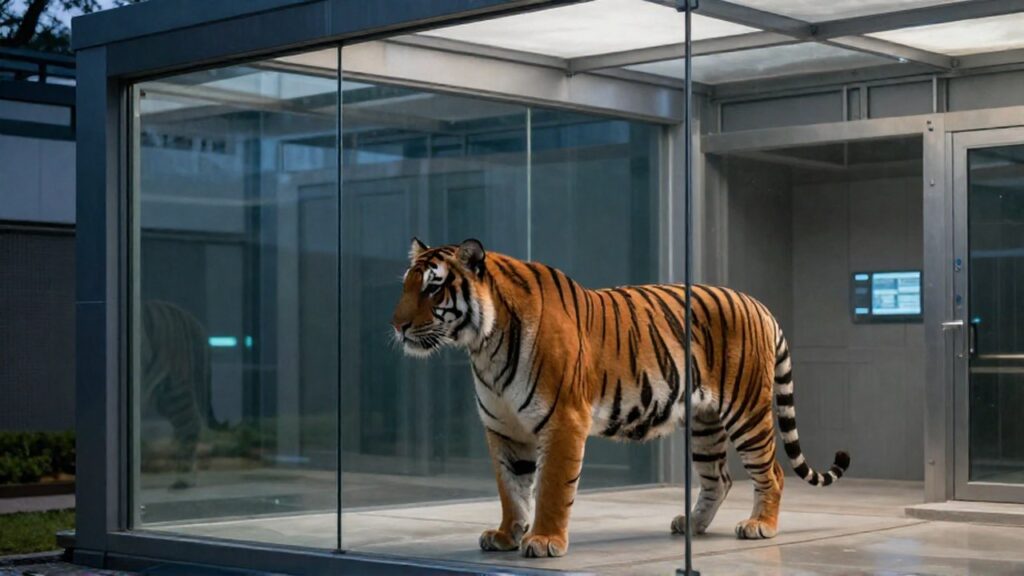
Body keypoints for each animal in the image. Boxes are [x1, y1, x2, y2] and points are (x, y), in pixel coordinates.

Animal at [391, 238, 850, 558]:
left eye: (433, 289)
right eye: (407, 286)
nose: (397, 326)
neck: (483, 345)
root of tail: (758, 303)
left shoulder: (563, 421)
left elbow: (553, 487)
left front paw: (544, 540)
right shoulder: (504, 428)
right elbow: (512, 488)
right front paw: (506, 535)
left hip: (747, 412)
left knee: (772, 472)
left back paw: (759, 525)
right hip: (705, 423)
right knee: (718, 478)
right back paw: (691, 524)